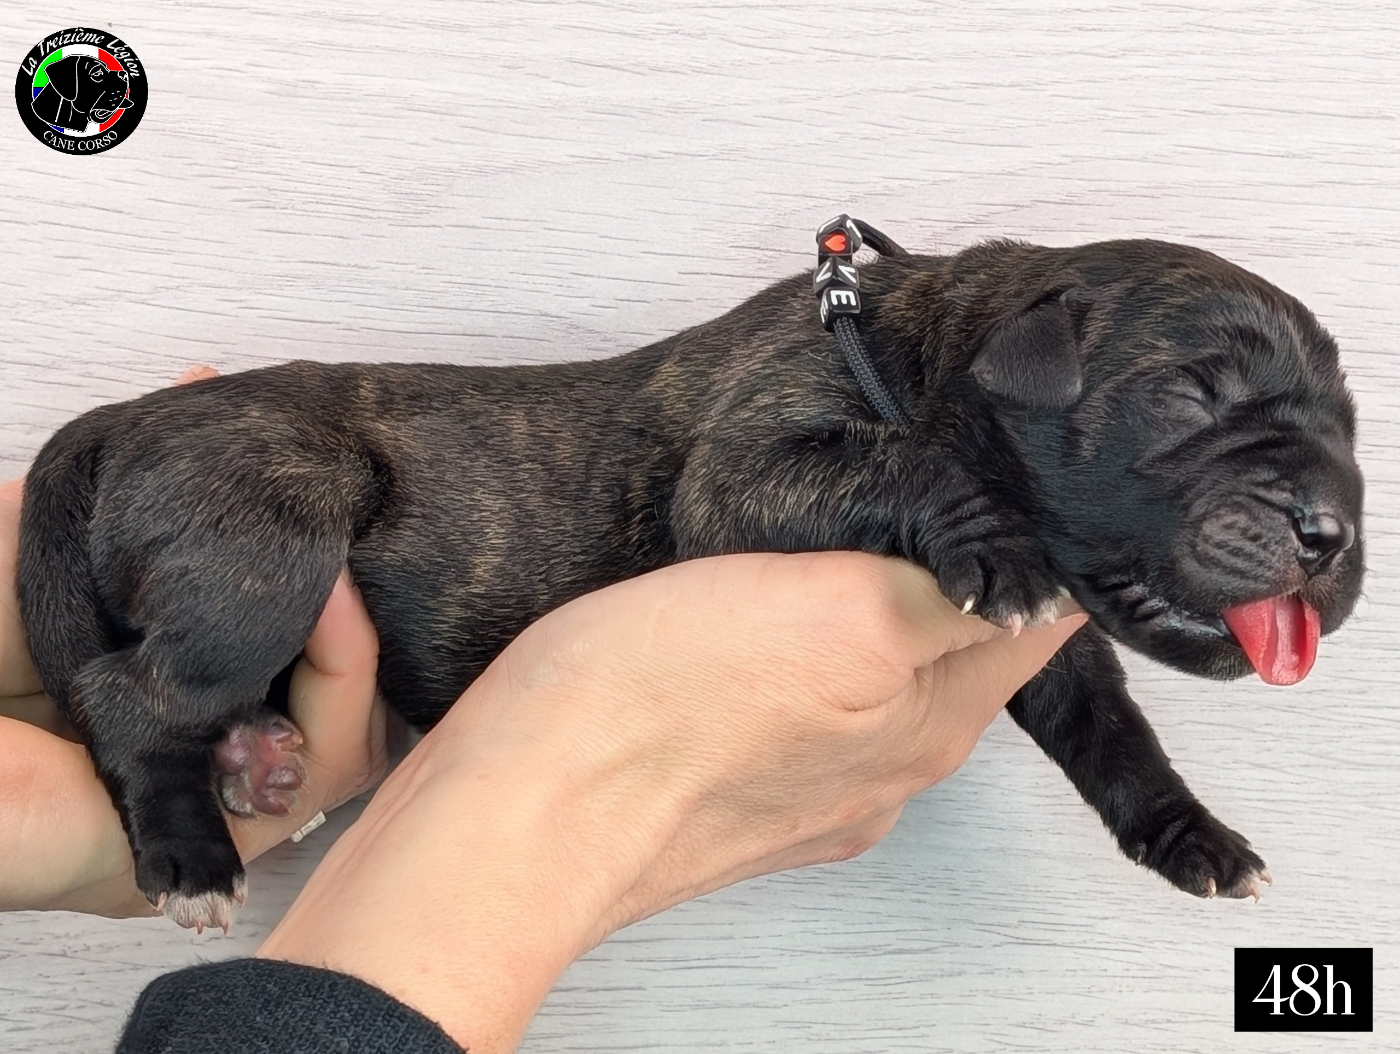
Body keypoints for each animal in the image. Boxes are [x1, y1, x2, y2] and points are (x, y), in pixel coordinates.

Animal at [17, 236, 1363, 930]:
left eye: (1350, 429)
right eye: (1189, 395)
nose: (1331, 529)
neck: (905, 351)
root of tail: (123, 419)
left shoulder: (1056, 653)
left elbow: (1111, 728)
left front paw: (1195, 837)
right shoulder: (744, 474)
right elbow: (900, 461)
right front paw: (984, 531)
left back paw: (252, 763)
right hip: (267, 542)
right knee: (132, 690)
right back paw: (193, 850)